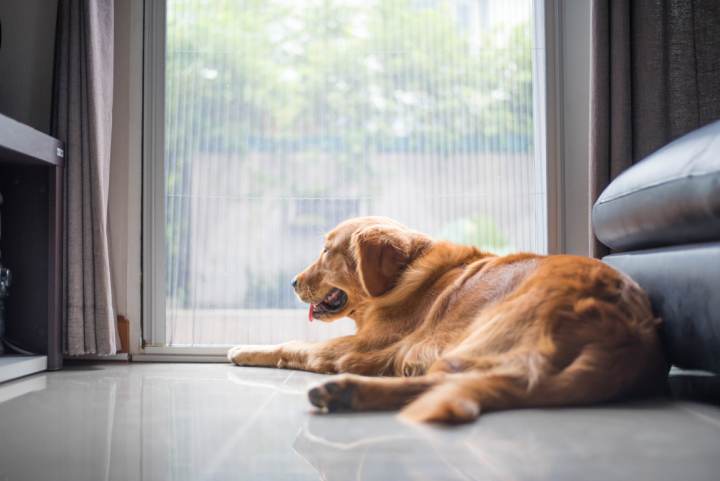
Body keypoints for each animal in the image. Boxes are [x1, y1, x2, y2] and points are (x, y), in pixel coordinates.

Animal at [228, 216, 668, 422]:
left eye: (325, 251)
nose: (292, 282)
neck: (402, 276)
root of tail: (627, 332)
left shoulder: (359, 348)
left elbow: (293, 345)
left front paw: (242, 349)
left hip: (482, 335)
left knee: (444, 383)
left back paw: (345, 392)